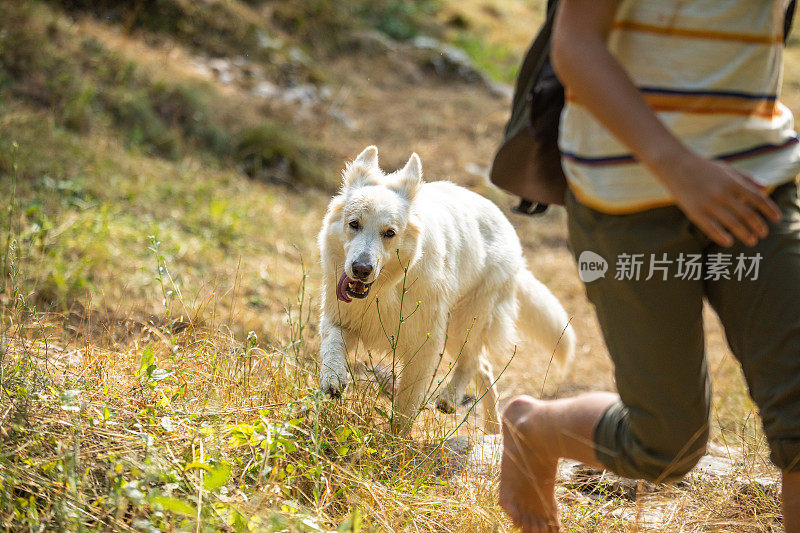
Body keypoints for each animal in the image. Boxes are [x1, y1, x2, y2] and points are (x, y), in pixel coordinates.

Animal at [316, 147, 572, 432]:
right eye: (354, 224)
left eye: (389, 233)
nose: (361, 269)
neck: (386, 290)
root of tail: (505, 222)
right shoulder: (342, 319)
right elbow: (331, 344)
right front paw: (333, 377)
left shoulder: (424, 347)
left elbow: (405, 406)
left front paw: (396, 440)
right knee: (484, 367)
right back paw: (493, 430)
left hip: (462, 324)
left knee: (473, 361)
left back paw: (452, 399)